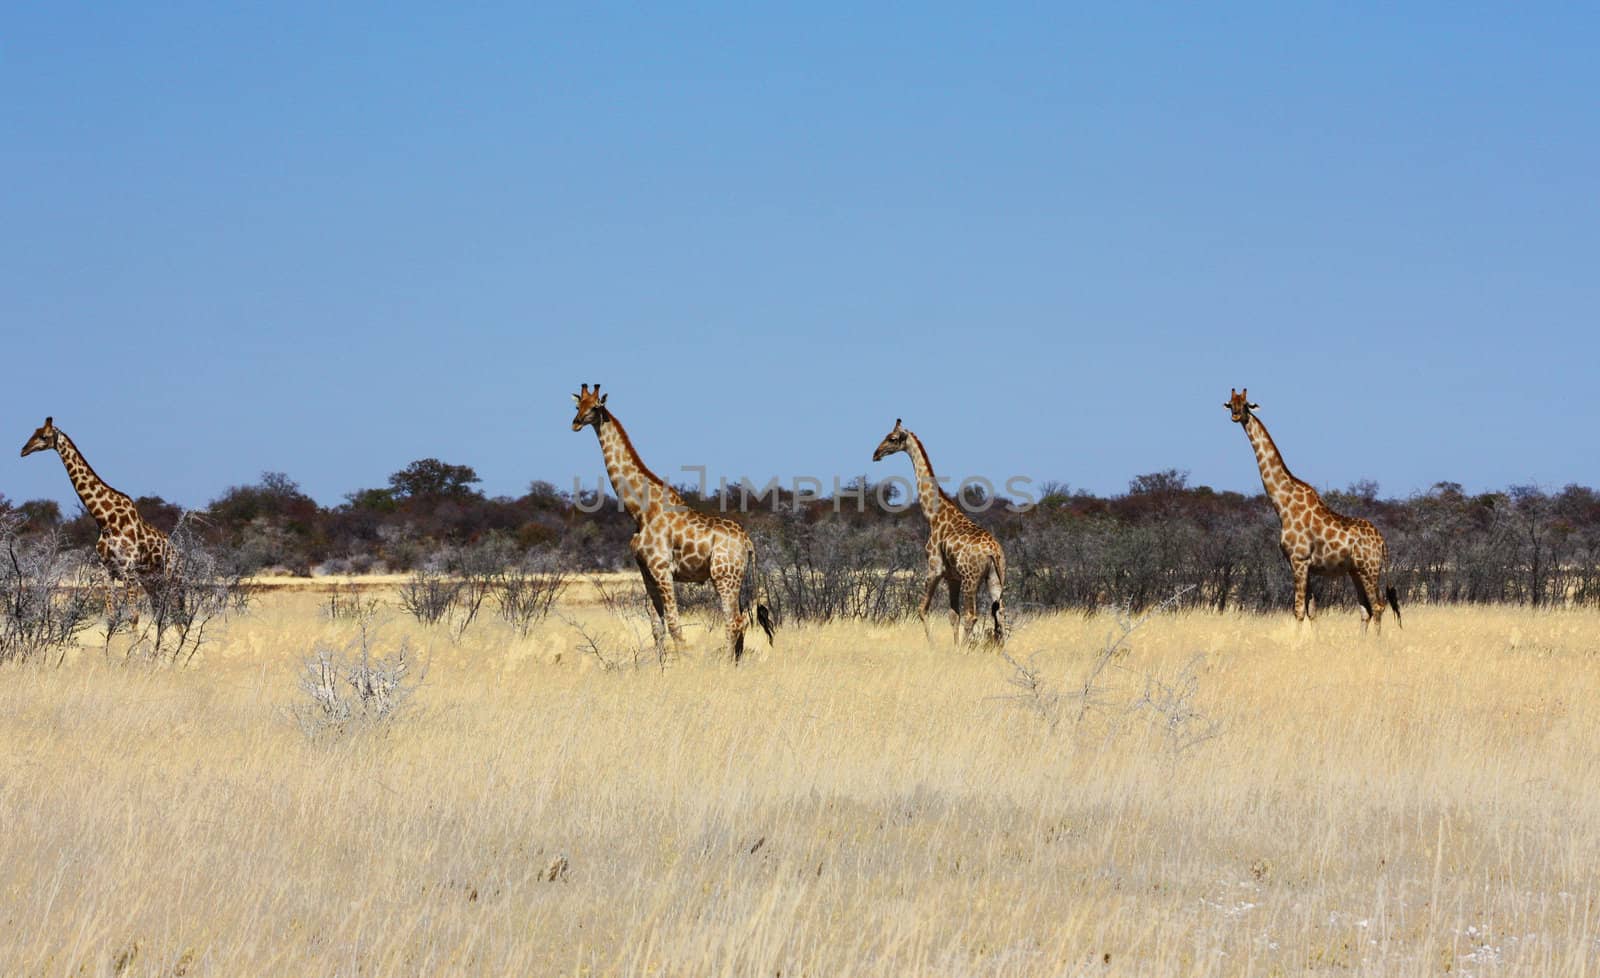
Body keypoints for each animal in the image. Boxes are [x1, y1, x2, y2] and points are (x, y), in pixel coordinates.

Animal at [20, 416, 175, 614]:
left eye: (44, 436)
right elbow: (111, 614)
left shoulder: (128, 569)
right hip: (150, 579)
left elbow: (133, 616)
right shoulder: (106, 569)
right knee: (160, 611)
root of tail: (176, 547)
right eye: (34, 432)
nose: (23, 450)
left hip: (171, 575)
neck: (105, 519)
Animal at [576, 385, 774, 662]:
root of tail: (748, 542)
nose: (575, 422)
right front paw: (662, 665)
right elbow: (656, 626)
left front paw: (682, 664)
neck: (640, 511)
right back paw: (735, 662)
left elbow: (673, 624)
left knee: (734, 621)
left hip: (724, 576)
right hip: (735, 578)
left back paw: (725, 664)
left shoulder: (662, 569)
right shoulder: (646, 572)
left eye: (595, 407)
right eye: (577, 405)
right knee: (740, 619)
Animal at [870, 416, 1004, 646]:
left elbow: (922, 609)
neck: (934, 514)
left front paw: (934, 646)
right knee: (1000, 614)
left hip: (971, 579)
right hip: (996, 578)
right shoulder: (952, 577)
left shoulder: (935, 568)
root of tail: (993, 552)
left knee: (972, 615)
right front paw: (954, 647)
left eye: (892, 438)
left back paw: (967, 649)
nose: (876, 454)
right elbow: (952, 615)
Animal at [1222, 390, 1401, 633]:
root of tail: (1382, 541)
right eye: (1231, 403)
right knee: (1366, 609)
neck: (1283, 504)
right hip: (1355, 571)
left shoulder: (1299, 560)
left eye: (1246, 405)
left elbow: (1298, 611)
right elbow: (1312, 611)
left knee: (1378, 606)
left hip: (1370, 569)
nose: (1235, 415)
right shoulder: (1303, 564)